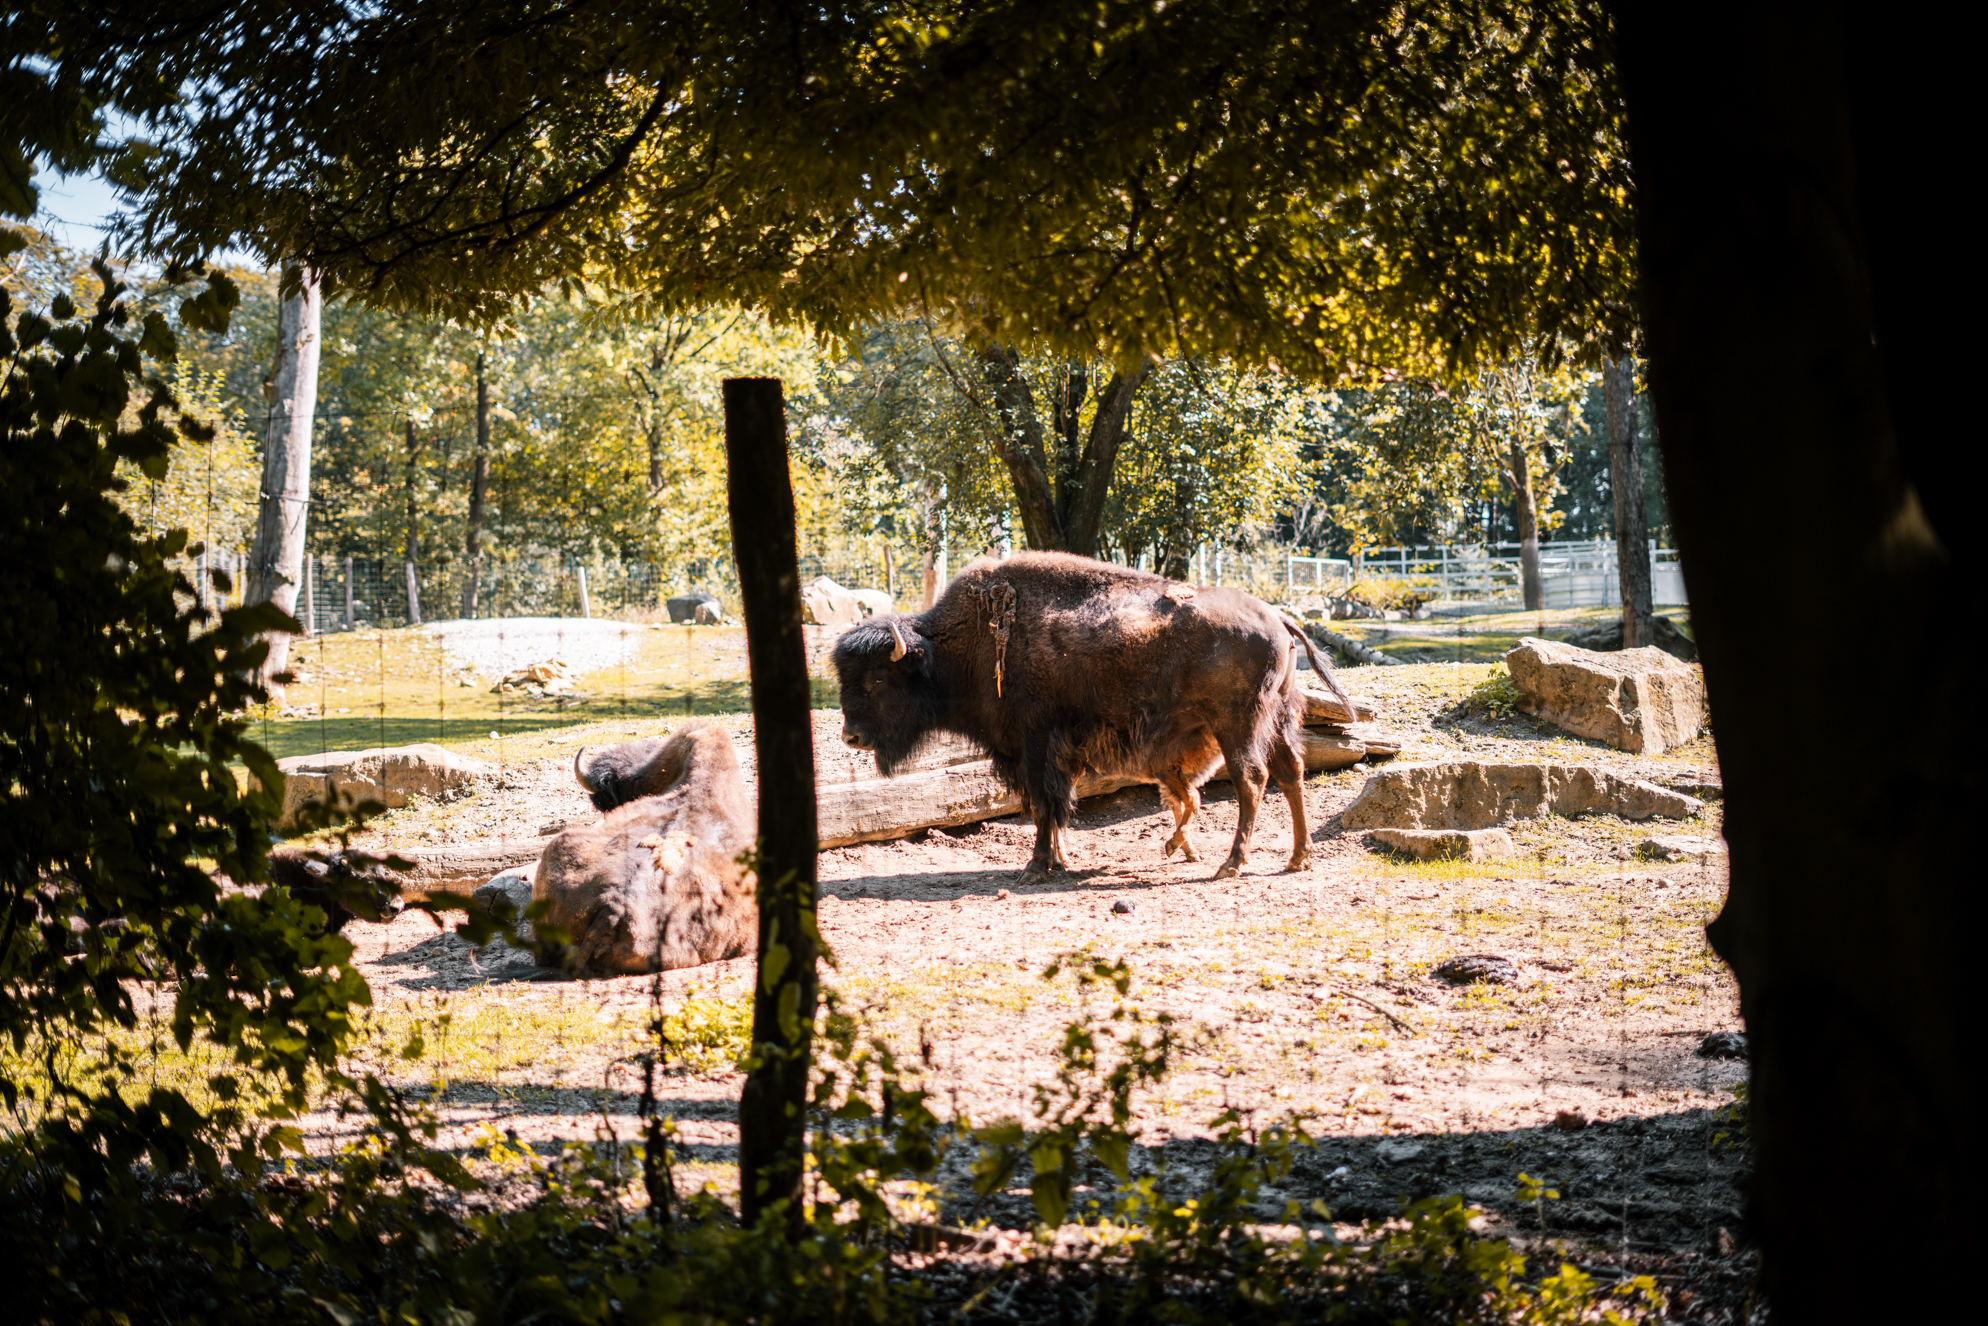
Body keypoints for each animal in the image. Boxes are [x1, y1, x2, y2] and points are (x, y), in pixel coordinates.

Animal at [831, 551, 1352, 880]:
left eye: (879, 680)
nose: (851, 736)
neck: (950, 648)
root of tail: (1278, 617)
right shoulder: (1045, 753)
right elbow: (1053, 804)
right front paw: (1058, 861)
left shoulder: (1035, 745)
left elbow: (1044, 804)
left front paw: (1036, 867)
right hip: (1279, 720)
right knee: (1291, 772)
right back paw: (1297, 859)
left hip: (1237, 725)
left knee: (1252, 780)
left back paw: (1232, 864)